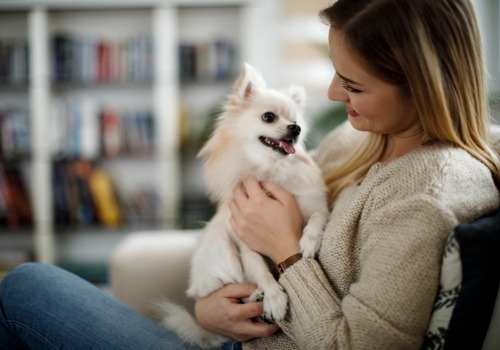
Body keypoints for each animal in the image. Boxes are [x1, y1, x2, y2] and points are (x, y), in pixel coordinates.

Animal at [156, 63, 328, 348]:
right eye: (269, 117)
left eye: (296, 121)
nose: (295, 129)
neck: (271, 170)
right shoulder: (247, 245)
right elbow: (260, 270)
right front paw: (274, 298)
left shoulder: (317, 206)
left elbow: (316, 219)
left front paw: (309, 242)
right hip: (220, 245)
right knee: (237, 285)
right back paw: (257, 296)